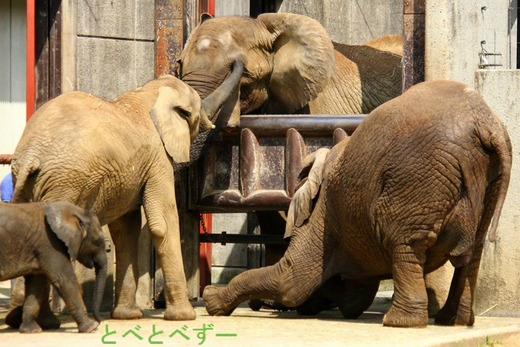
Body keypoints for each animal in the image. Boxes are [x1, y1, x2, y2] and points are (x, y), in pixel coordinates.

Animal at [0, 201, 106, 334]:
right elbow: (65, 281)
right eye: (99, 242)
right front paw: (91, 327)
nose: (100, 321)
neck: (75, 212)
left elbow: (37, 285)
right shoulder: (50, 244)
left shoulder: (38, 249)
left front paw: (32, 330)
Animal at [8, 64, 244, 320]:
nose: (237, 63)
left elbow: (125, 230)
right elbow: (163, 223)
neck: (146, 92)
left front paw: (127, 316)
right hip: (65, 183)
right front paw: (184, 316)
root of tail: (31, 154)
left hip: (28, 182)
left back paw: (23, 319)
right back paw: (45, 320)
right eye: (195, 113)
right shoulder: (158, 159)